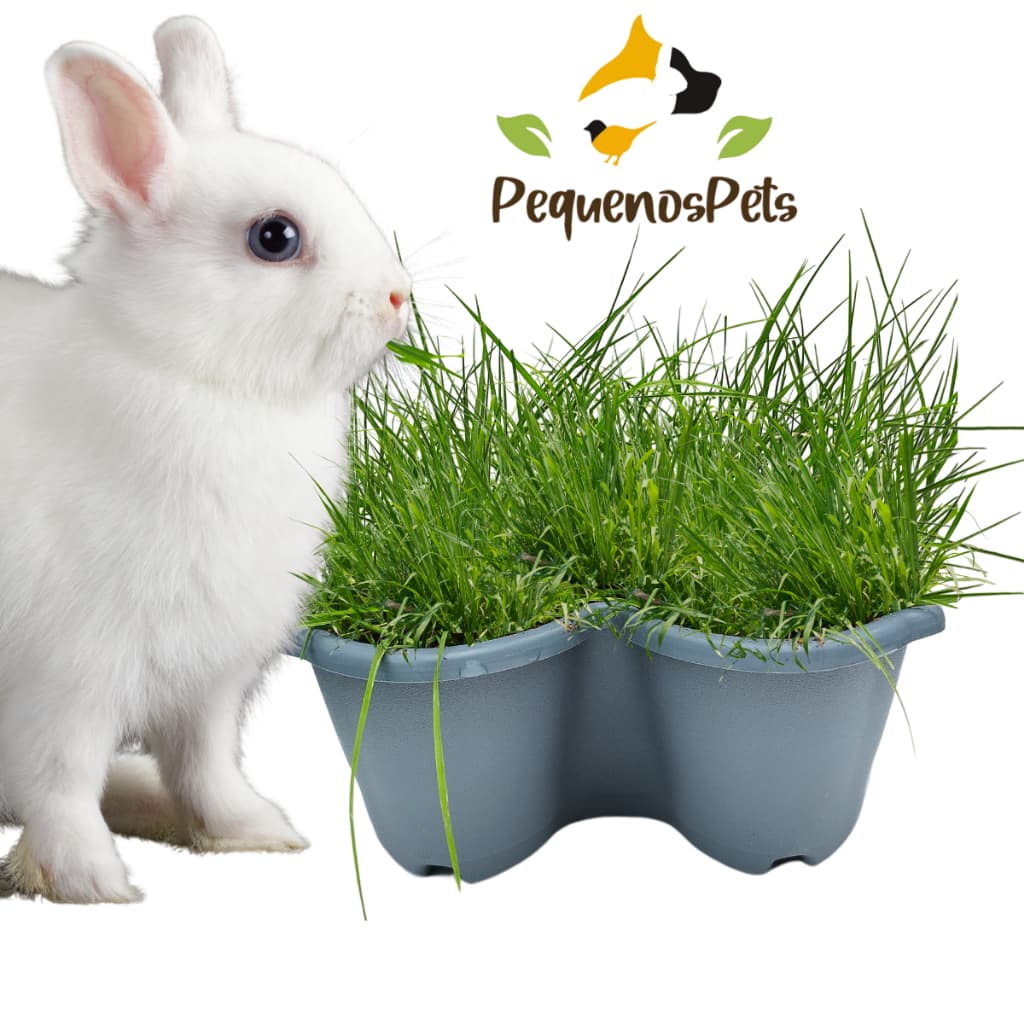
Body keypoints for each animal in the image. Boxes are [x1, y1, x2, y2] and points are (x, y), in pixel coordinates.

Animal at [0, 15, 411, 903]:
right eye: (274, 237)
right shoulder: (66, 677)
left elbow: (206, 763)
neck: (190, 373)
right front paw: (92, 881)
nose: (398, 298)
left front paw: (255, 833)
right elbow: (61, 780)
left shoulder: (210, 677)